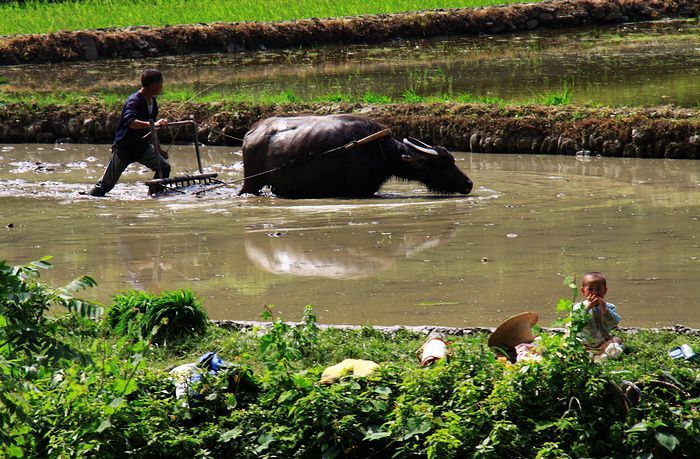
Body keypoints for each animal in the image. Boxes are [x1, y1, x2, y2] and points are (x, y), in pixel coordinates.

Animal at [238, 115, 474, 198]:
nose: (468, 183)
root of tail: (251, 133)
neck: (382, 150)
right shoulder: (359, 189)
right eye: (441, 164)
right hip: (251, 183)